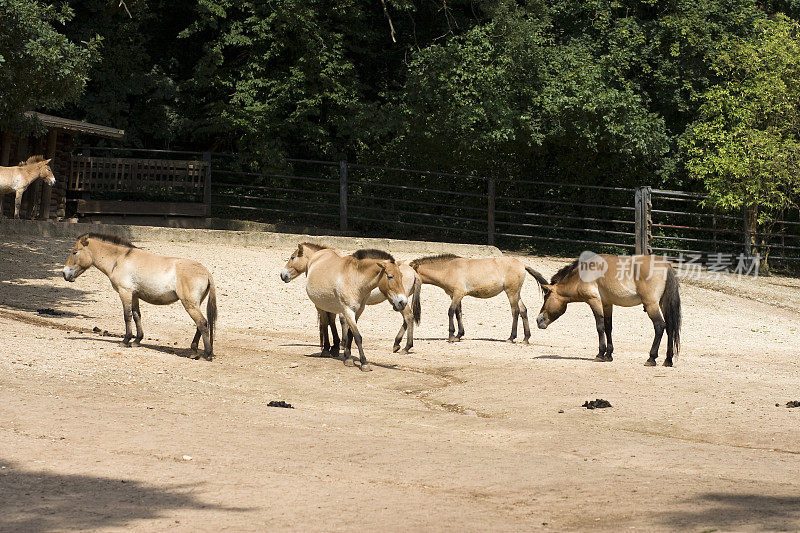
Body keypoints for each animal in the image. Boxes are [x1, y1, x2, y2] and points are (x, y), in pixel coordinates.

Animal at [63, 234, 219, 362]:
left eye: (75, 252)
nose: (64, 274)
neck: (119, 259)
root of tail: (206, 272)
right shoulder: (134, 295)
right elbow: (137, 315)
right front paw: (137, 340)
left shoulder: (125, 292)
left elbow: (127, 316)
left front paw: (126, 340)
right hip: (194, 304)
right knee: (200, 324)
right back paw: (194, 351)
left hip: (189, 304)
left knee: (202, 323)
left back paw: (206, 354)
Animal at [282, 242, 406, 370]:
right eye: (390, 276)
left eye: (401, 276)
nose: (402, 302)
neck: (355, 279)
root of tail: (319, 254)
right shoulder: (348, 310)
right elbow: (357, 336)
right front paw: (363, 362)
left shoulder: (358, 311)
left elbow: (351, 335)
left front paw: (348, 357)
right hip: (320, 305)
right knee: (325, 323)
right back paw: (326, 350)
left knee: (330, 321)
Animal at [406, 255, 544, 344]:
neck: (449, 269)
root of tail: (522, 265)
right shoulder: (455, 295)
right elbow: (458, 313)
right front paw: (459, 335)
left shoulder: (458, 294)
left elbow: (450, 311)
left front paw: (451, 336)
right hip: (517, 293)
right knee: (523, 311)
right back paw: (526, 339)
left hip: (511, 292)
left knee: (515, 312)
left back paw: (511, 338)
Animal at [532, 254, 680, 366]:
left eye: (546, 296)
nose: (539, 320)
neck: (583, 274)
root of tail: (666, 266)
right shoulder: (607, 304)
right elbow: (608, 327)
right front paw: (609, 355)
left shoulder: (594, 301)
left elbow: (600, 326)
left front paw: (600, 354)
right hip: (663, 304)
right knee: (670, 327)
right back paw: (668, 360)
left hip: (651, 305)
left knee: (660, 326)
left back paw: (651, 358)